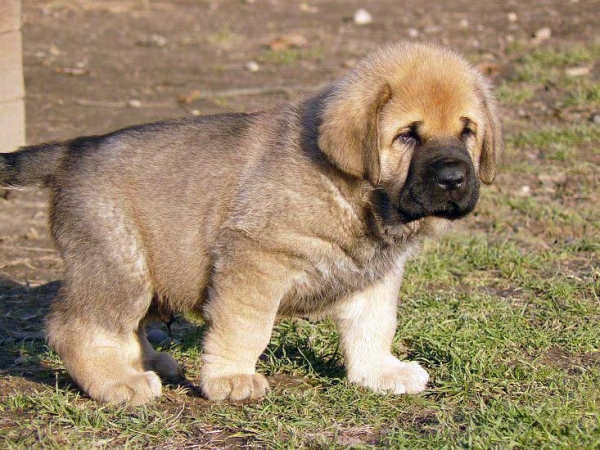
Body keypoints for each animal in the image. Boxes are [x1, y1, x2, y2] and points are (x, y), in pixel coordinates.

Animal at [0, 43, 502, 404]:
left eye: (467, 131)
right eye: (407, 135)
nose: (454, 179)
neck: (354, 194)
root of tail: (72, 150)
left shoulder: (375, 275)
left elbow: (373, 326)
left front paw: (378, 372)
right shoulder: (254, 259)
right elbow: (246, 327)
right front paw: (232, 378)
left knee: (125, 328)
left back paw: (146, 363)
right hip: (118, 264)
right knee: (78, 327)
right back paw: (118, 384)